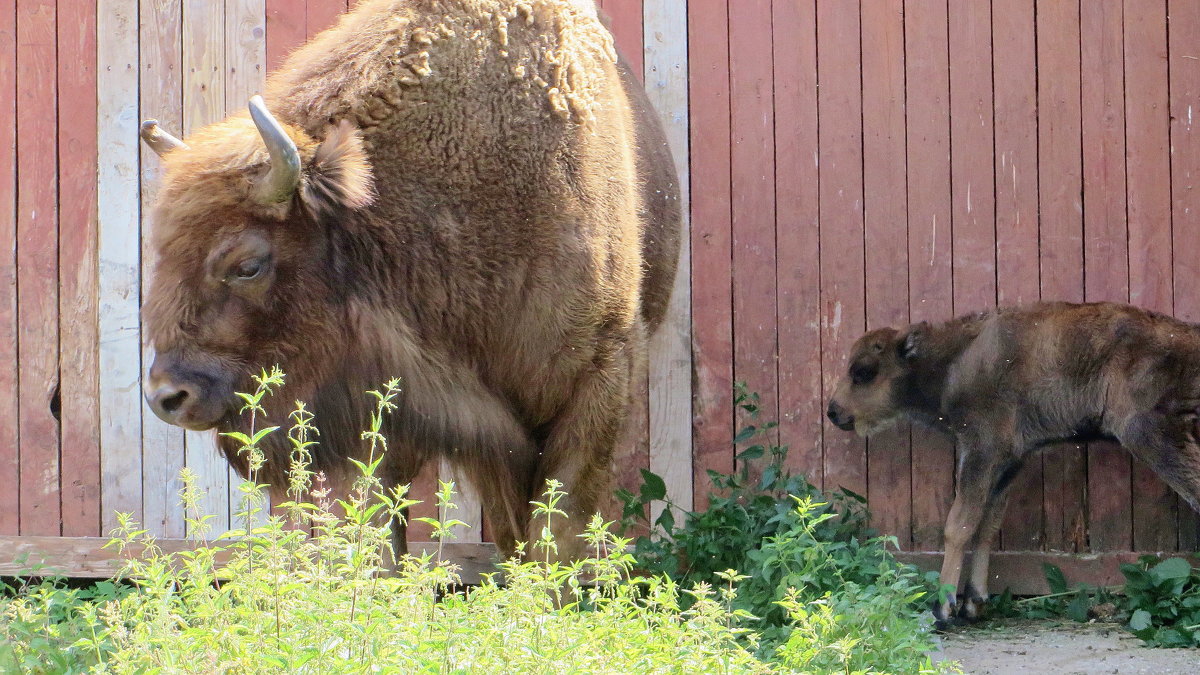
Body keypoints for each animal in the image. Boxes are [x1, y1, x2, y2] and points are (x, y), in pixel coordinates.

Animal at [137, 0, 681, 557]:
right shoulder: (396, 406)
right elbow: (386, 533)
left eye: (247, 265)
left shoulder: (599, 378)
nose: (166, 397)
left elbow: (560, 530)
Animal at [830, 299, 1200, 624]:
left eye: (863, 372)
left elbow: (958, 526)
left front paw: (943, 609)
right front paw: (974, 603)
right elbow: (986, 525)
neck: (956, 361)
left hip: (1150, 435)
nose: (834, 411)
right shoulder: (1009, 462)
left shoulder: (982, 451)